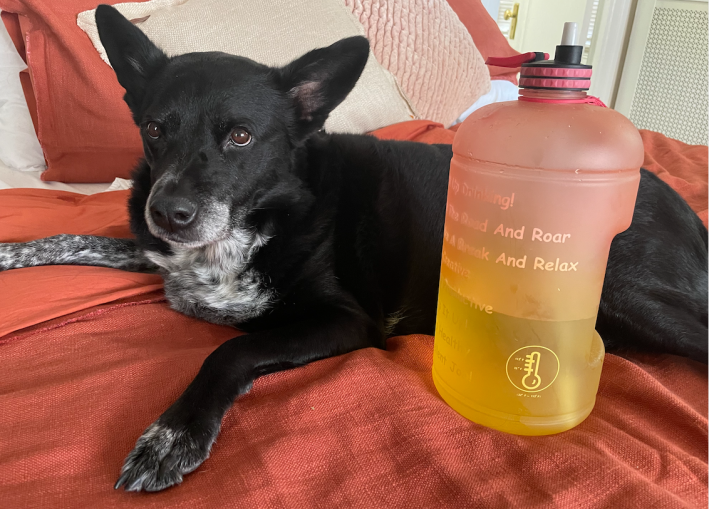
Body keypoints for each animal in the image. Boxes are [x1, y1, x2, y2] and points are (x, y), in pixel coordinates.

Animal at [0, 4, 704, 492]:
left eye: (240, 136)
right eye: (153, 128)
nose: (168, 213)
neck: (254, 222)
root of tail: (679, 203)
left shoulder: (344, 320)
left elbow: (231, 350)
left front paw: (173, 435)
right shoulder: (155, 251)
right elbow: (80, 237)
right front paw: (13, 252)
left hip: (619, 290)